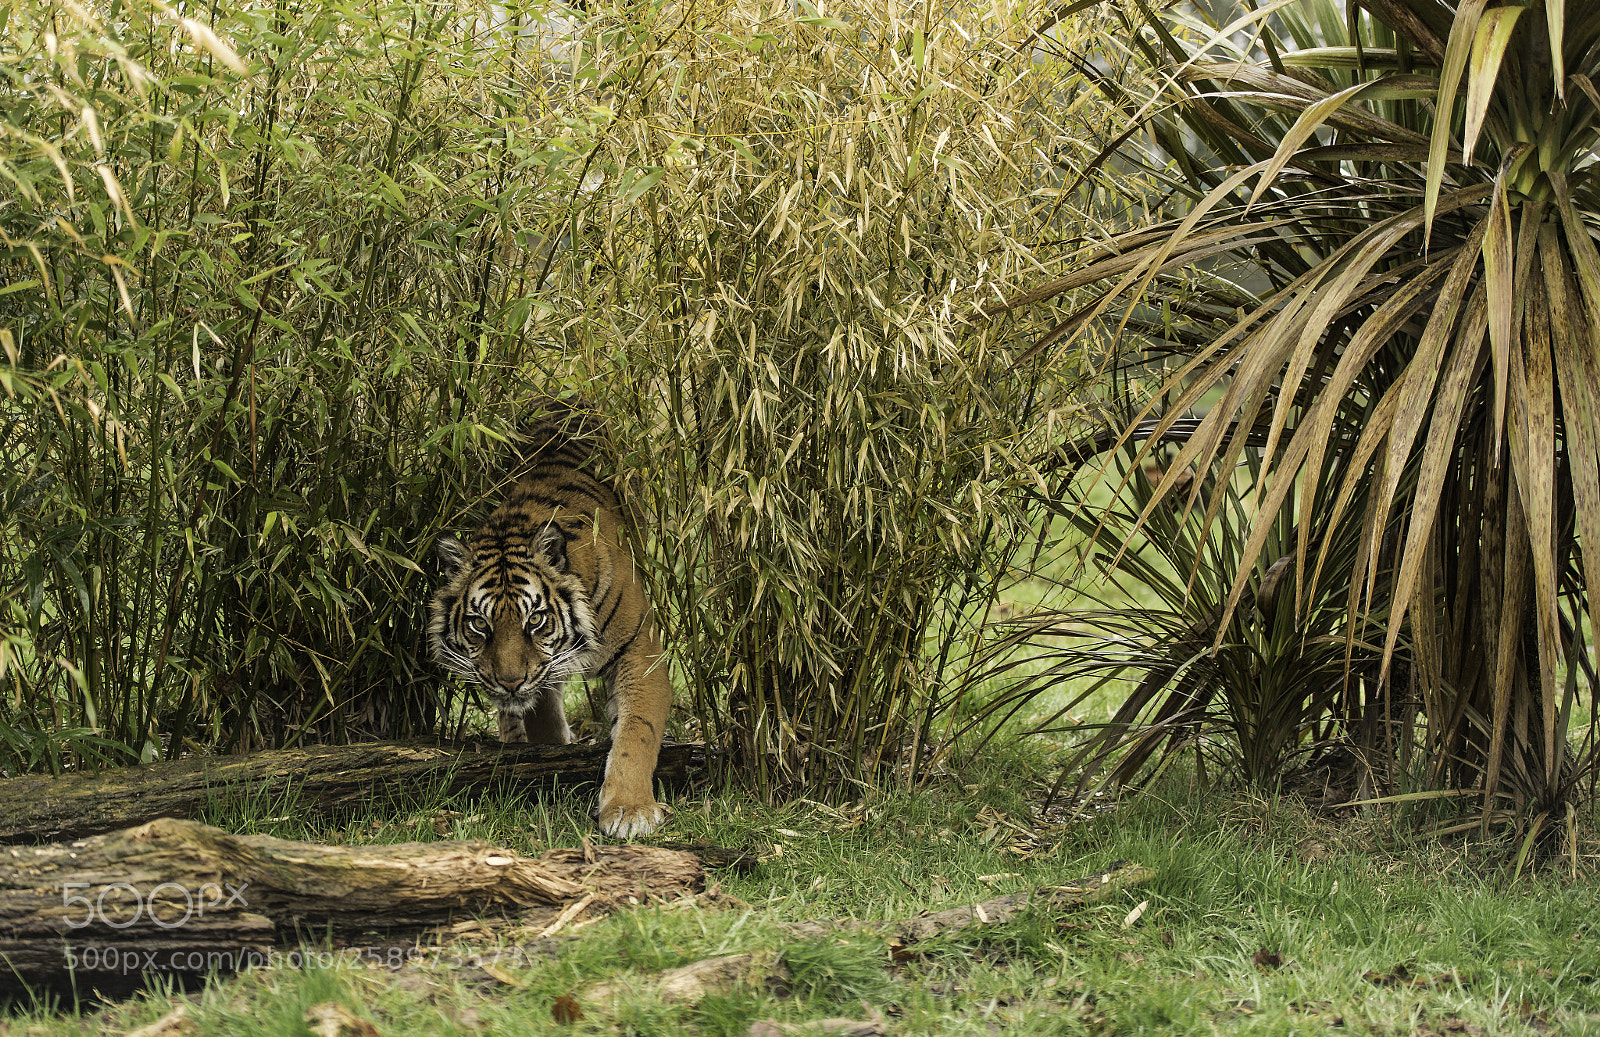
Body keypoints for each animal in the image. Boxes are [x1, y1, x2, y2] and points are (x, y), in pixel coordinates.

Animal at [427, 412, 671, 838]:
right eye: (479, 624)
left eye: (536, 619)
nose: (509, 683)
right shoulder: (537, 678)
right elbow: (541, 720)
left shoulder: (641, 653)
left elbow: (637, 731)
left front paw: (629, 809)